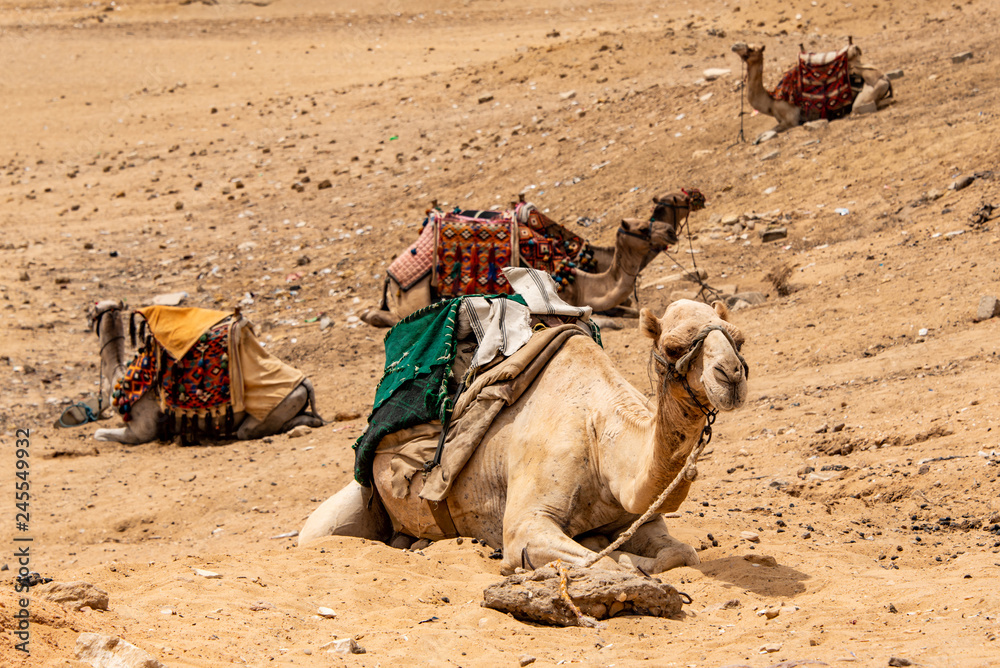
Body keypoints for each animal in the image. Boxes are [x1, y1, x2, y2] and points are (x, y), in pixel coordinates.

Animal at [90, 300, 323, 444]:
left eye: (91, 312)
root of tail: (305, 382)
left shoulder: (142, 431)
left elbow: (98, 433)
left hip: (275, 407)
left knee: (249, 430)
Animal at [301, 299, 749, 575]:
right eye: (672, 347)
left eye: (739, 338)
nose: (731, 376)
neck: (601, 437)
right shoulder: (525, 524)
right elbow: (598, 562)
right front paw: (621, 560)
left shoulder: (643, 517)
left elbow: (680, 552)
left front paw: (625, 552)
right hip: (346, 509)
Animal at [361, 191, 704, 328]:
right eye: (643, 228)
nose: (669, 233)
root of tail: (390, 274)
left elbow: (629, 310)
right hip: (414, 293)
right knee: (391, 316)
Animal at [731, 41, 892, 141]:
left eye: (751, 49)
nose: (734, 46)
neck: (772, 101)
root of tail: (885, 78)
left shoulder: (791, 121)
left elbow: (767, 131)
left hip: (869, 92)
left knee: (858, 107)